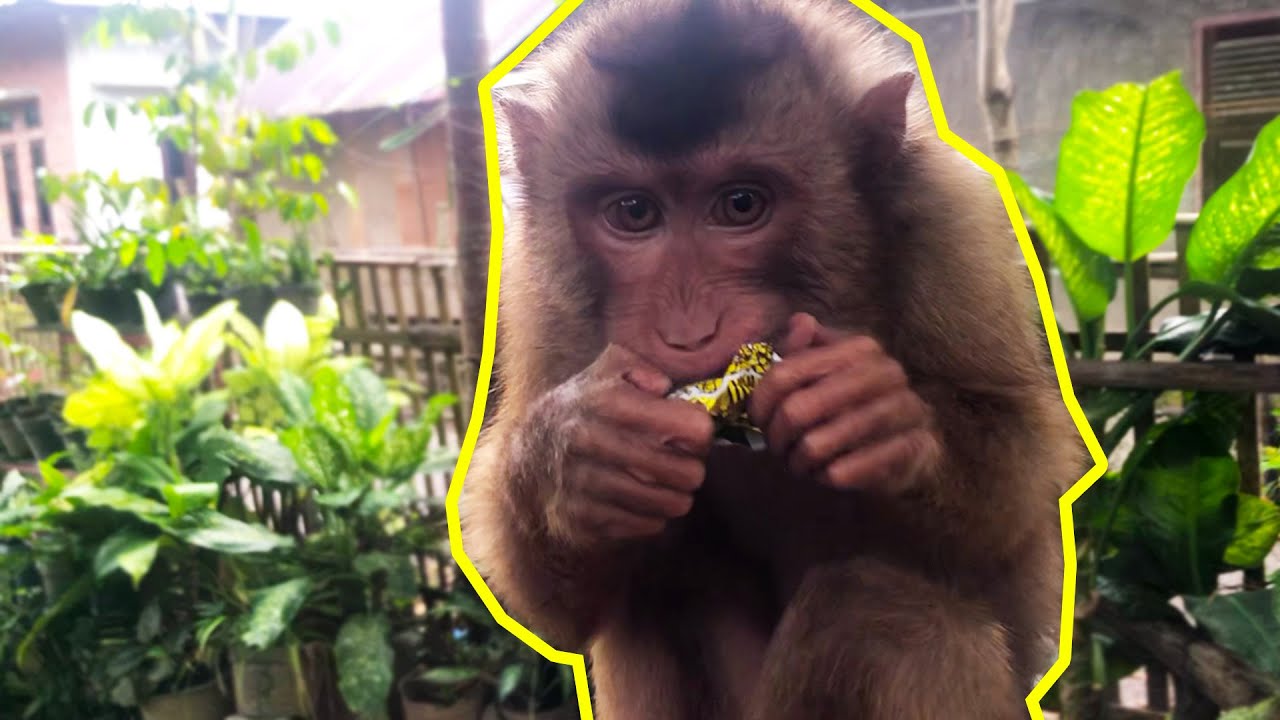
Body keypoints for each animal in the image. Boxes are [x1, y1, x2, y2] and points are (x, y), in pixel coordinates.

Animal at [458, 1, 1083, 718]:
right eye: (634, 212)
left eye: (741, 204)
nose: (687, 329)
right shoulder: (541, 295)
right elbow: (560, 609)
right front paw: (576, 456)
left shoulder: (948, 221)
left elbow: (1018, 491)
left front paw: (879, 418)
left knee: (890, 617)